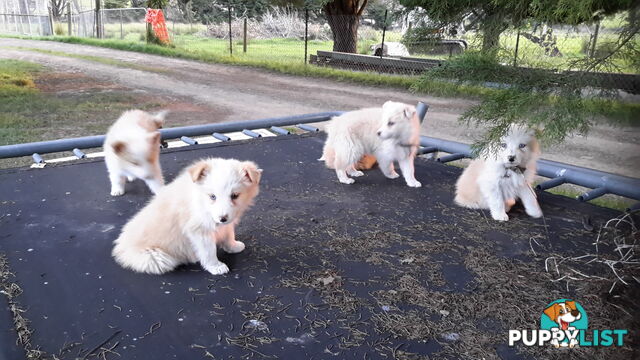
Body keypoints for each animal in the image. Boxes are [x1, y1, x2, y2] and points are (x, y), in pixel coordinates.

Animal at [111, 158, 262, 276]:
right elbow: (209, 251)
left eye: (235, 195)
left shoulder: (225, 224)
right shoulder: (199, 231)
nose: (222, 219)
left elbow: (228, 234)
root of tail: (119, 247)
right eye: (213, 196)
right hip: (156, 258)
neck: (200, 200)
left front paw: (233, 246)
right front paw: (216, 266)